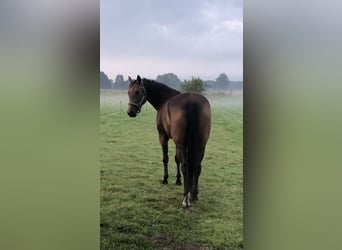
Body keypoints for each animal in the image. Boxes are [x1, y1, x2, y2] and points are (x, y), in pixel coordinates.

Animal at [126, 75, 210, 208]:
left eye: (138, 92)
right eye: (128, 92)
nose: (130, 112)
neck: (164, 99)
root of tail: (192, 103)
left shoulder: (163, 137)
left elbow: (166, 158)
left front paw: (165, 179)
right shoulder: (182, 144)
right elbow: (177, 159)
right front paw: (178, 180)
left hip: (182, 144)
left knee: (186, 167)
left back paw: (185, 199)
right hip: (201, 145)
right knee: (197, 166)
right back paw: (194, 194)